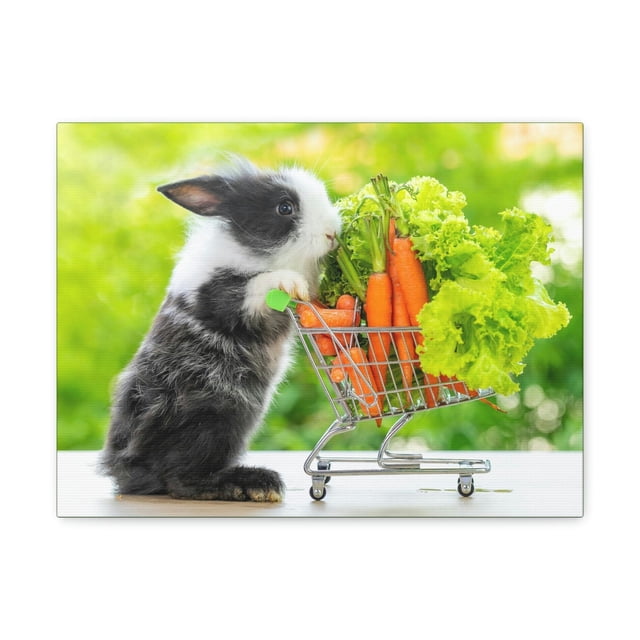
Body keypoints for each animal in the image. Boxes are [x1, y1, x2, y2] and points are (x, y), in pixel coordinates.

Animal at [99, 158, 341, 502]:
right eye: (284, 207)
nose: (333, 233)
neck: (254, 253)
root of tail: (124, 469)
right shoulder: (220, 299)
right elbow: (256, 286)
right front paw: (291, 283)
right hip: (215, 419)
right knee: (180, 480)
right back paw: (255, 484)